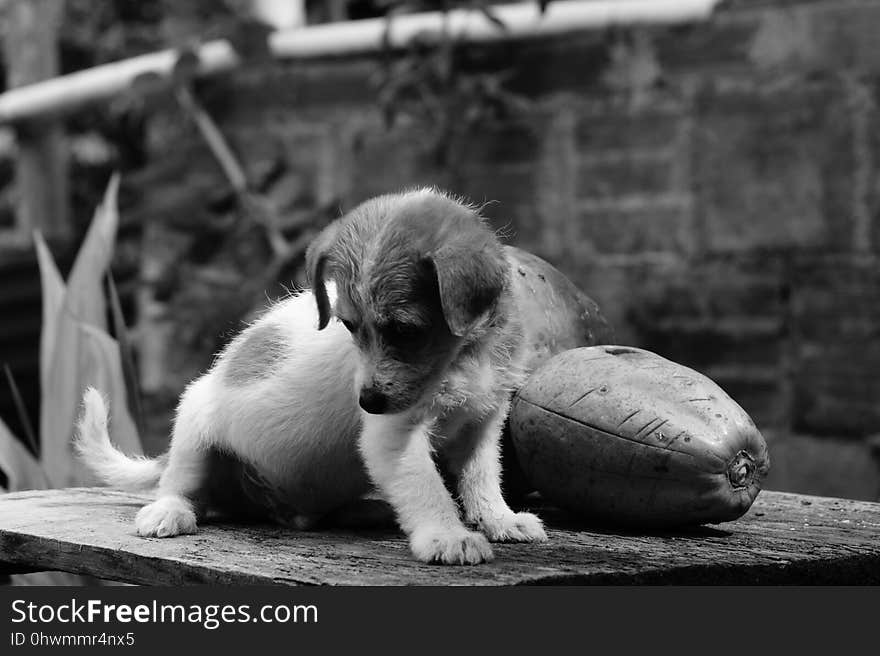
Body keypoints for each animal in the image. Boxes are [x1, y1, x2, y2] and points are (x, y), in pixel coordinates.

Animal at [77, 188, 544, 564]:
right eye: (349, 325)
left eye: (404, 331)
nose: (366, 401)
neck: (464, 357)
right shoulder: (393, 436)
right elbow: (428, 487)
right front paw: (447, 536)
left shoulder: (483, 421)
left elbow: (482, 477)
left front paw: (500, 520)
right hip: (194, 432)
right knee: (179, 483)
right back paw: (169, 511)